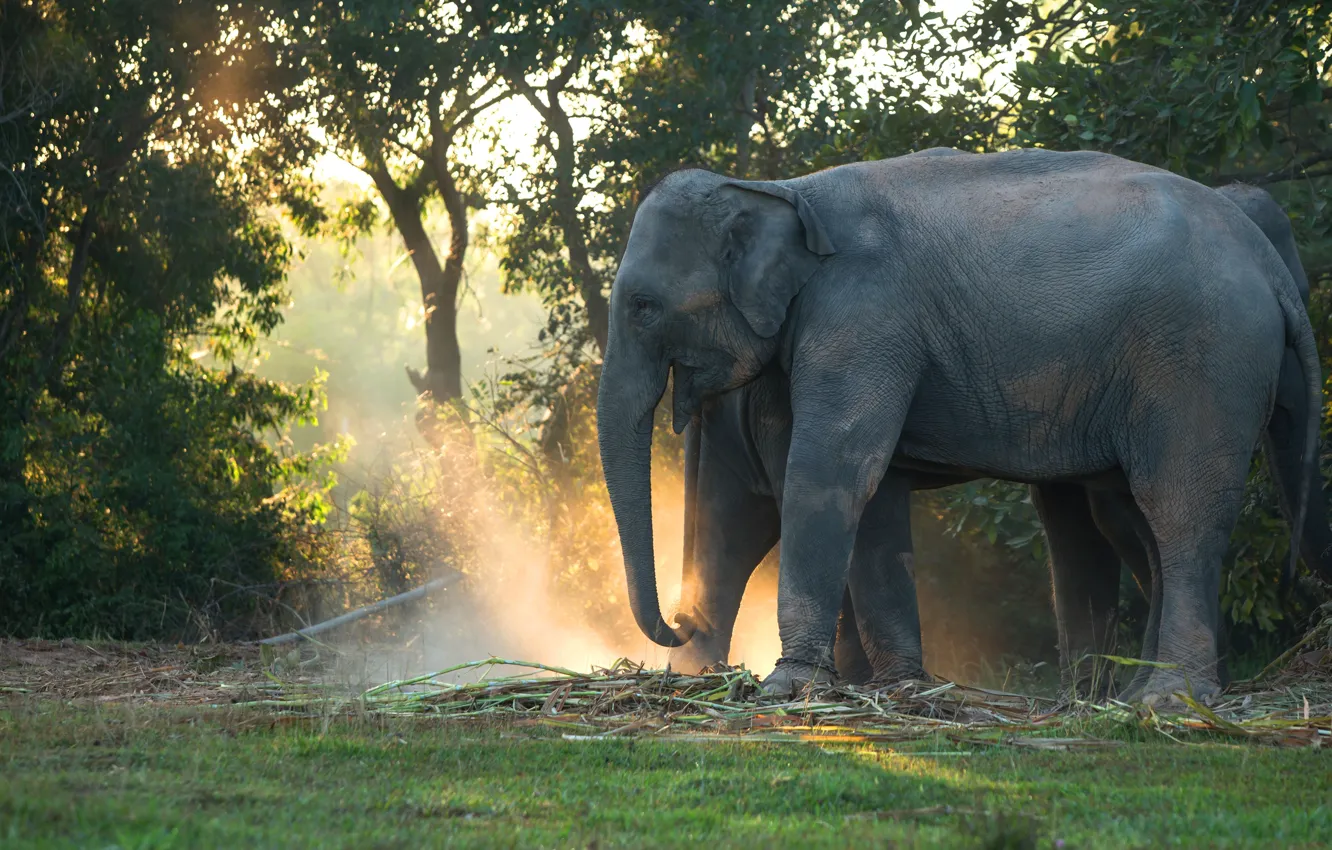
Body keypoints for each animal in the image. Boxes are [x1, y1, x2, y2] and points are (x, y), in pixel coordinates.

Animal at [596, 147, 1321, 704]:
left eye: (642, 306)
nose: (675, 624)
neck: (788, 191)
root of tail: (1263, 260)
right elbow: (856, 490)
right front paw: (896, 689)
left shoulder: (862, 317)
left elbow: (829, 473)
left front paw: (792, 689)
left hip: (1200, 364)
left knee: (1177, 512)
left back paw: (1168, 701)